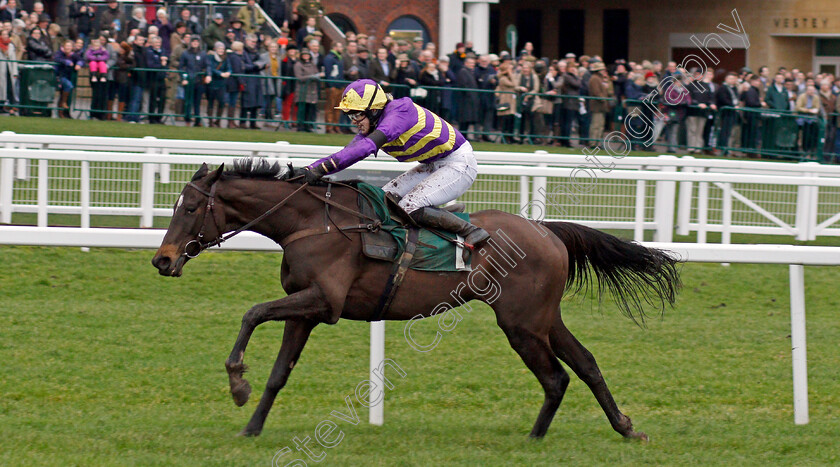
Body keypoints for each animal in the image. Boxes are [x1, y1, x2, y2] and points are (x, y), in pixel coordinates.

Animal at [151, 159, 680, 440]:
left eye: (191, 207)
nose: (162, 259)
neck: (312, 223)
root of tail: (546, 231)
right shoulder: (305, 309)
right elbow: (280, 371)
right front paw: (252, 425)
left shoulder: (323, 302)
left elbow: (252, 312)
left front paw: (237, 383)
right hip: (543, 317)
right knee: (585, 364)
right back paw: (623, 426)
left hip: (521, 323)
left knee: (555, 376)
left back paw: (536, 437)